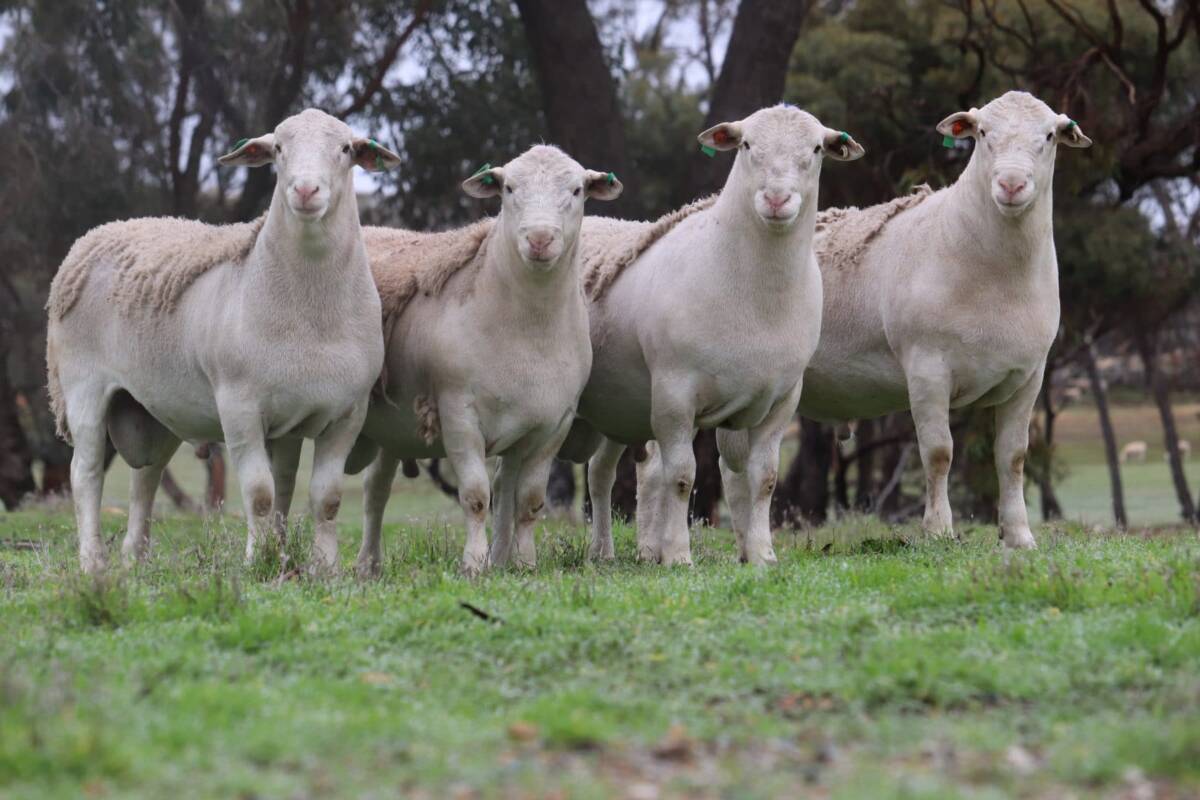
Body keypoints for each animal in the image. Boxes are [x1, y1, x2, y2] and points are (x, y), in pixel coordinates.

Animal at [44, 107, 400, 575]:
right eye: (278, 149)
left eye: (344, 149)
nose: (305, 190)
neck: (310, 312)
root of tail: (97, 235)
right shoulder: (239, 405)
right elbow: (261, 494)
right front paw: (258, 561)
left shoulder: (346, 412)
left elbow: (324, 497)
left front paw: (324, 568)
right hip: (83, 386)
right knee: (84, 473)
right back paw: (93, 561)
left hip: (155, 407)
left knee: (146, 477)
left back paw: (136, 557)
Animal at [340, 145, 624, 575]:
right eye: (508, 188)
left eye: (577, 190)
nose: (540, 239)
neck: (528, 329)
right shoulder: (458, 413)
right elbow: (475, 495)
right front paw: (474, 563)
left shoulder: (552, 424)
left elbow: (529, 500)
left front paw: (524, 562)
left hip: (389, 430)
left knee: (376, 491)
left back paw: (369, 564)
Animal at [566, 103, 868, 566]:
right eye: (746, 145)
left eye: (817, 149)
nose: (776, 200)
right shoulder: (674, 395)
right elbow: (681, 477)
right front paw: (677, 555)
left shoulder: (780, 399)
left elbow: (764, 478)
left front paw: (761, 554)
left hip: (617, 404)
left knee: (600, 472)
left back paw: (612, 551)